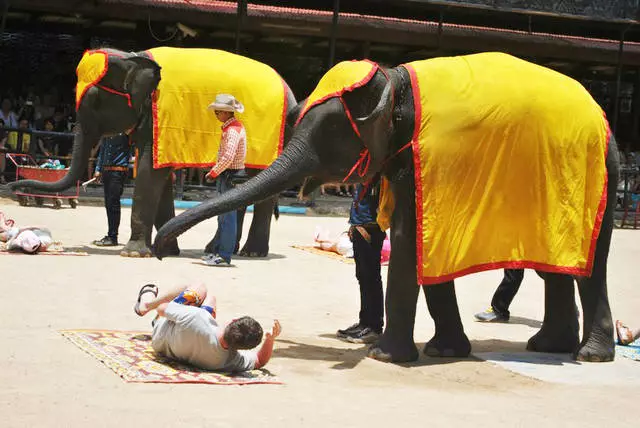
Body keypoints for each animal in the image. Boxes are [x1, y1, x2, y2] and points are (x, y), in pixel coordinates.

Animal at [10, 48, 298, 260]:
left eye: (94, 102)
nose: (14, 186)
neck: (132, 57)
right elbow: (161, 177)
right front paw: (167, 250)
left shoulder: (161, 113)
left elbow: (150, 173)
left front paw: (133, 254)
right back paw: (219, 249)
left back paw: (251, 253)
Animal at [151, 51, 620, 362]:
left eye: (327, 134)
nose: (157, 252)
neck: (392, 83)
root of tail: (601, 115)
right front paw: (445, 351)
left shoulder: (425, 160)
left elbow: (409, 238)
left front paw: (386, 356)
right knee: (556, 269)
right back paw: (549, 347)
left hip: (598, 175)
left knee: (591, 267)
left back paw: (588, 355)